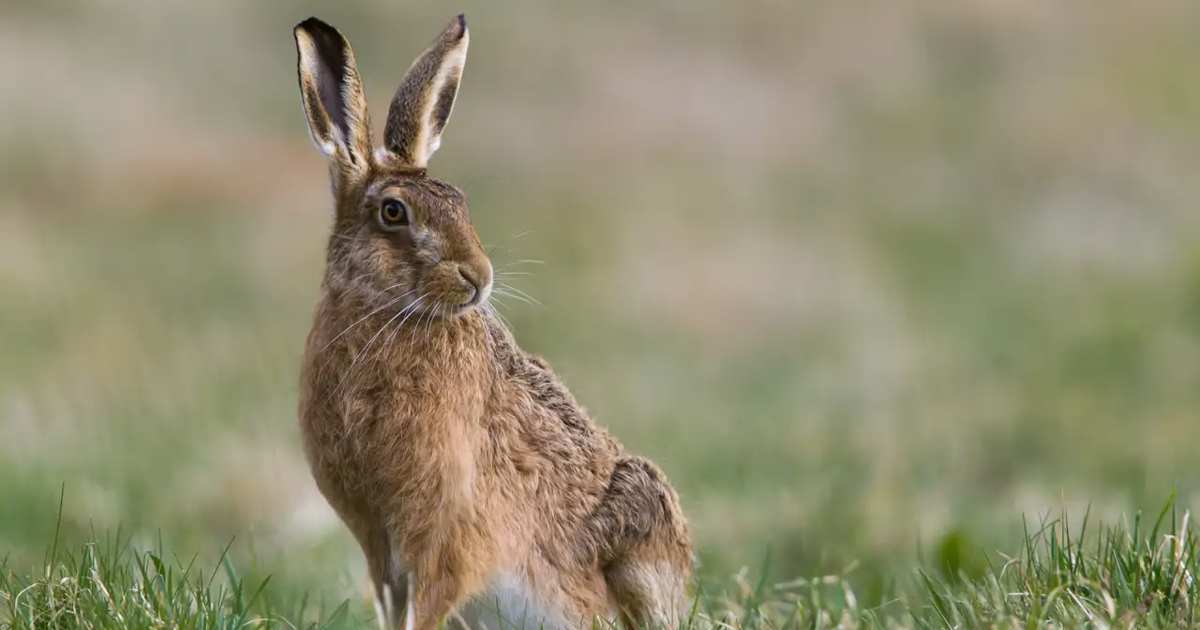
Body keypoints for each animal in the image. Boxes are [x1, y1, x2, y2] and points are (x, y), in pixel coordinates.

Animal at [293, 15, 693, 630]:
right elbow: (394, 602)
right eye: (393, 212)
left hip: (643, 523)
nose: (479, 276)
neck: (384, 313)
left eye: (461, 202)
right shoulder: (379, 537)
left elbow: (431, 596)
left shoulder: (448, 528)